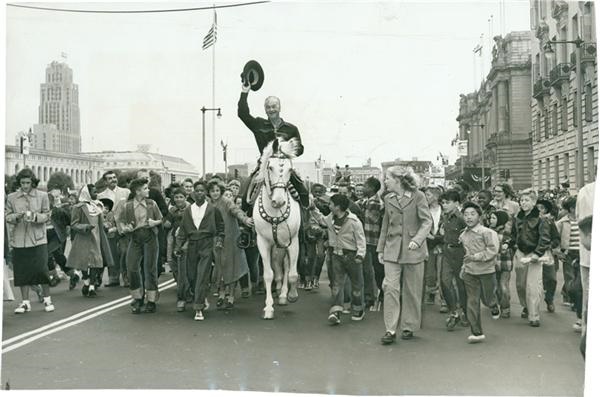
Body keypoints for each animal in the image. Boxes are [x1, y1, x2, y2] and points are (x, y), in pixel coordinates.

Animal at [252, 138, 302, 318]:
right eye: (270, 167)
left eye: (290, 169)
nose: (279, 201)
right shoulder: (263, 242)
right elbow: (268, 274)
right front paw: (268, 308)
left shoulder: (293, 241)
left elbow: (292, 272)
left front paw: (291, 295)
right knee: (277, 266)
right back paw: (279, 288)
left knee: (286, 267)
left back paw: (283, 294)